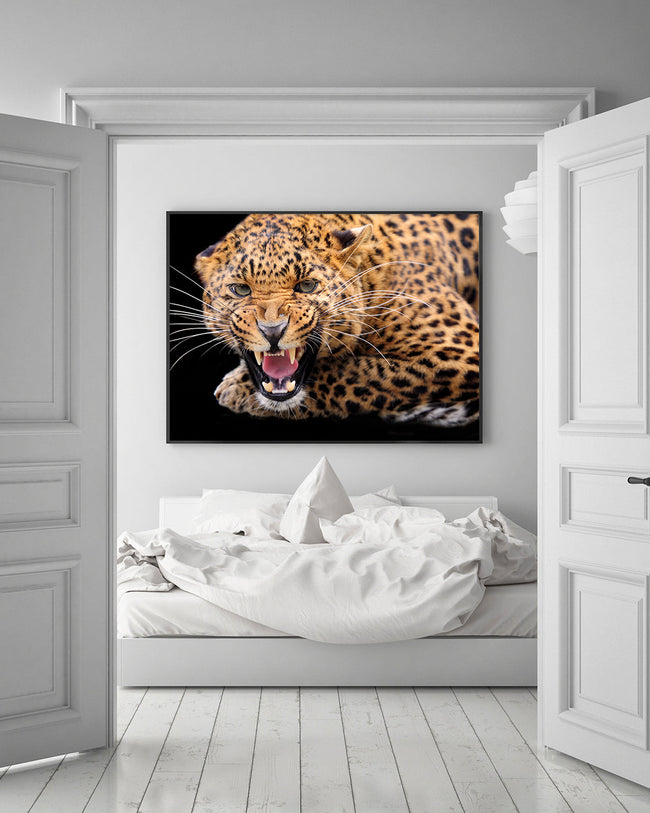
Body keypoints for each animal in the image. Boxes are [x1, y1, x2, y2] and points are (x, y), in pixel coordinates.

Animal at [193, 212, 480, 427]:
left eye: (307, 285)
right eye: (241, 290)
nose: (272, 331)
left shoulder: (462, 352)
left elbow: (362, 372)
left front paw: (237, 389)